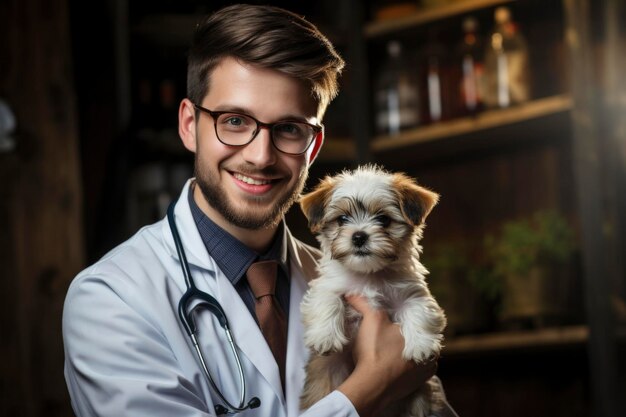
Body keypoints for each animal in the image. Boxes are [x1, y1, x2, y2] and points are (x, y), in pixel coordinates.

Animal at [298, 164, 444, 414]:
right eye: (342, 219)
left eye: (383, 219)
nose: (359, 236)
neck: (368, 274)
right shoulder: (326, 285)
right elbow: (327, 299)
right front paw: (326, 337)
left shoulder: (411, 291)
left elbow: (418, 308)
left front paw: (421, 345)